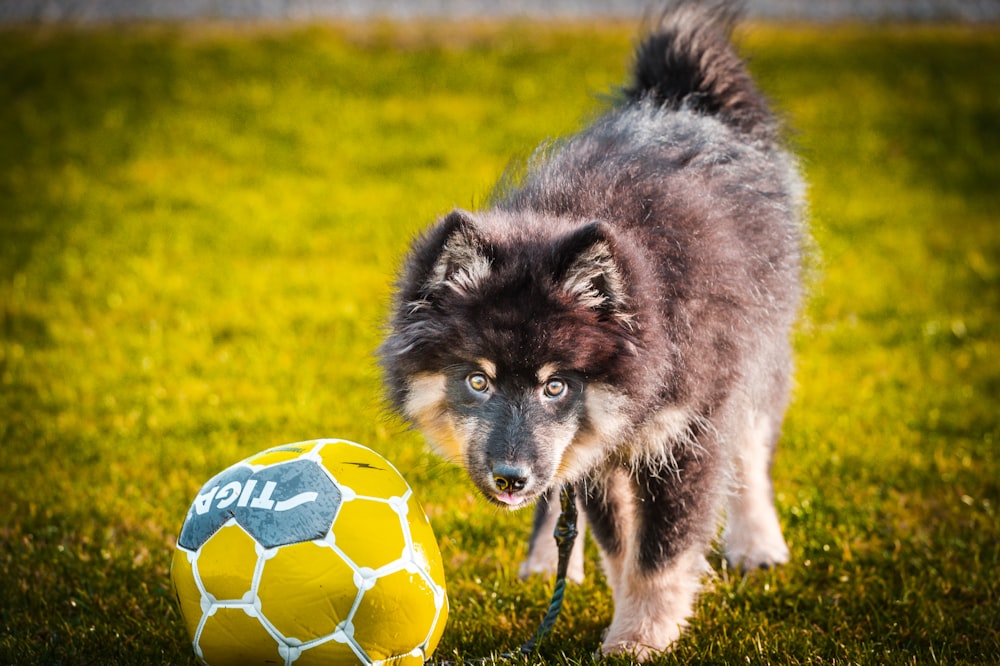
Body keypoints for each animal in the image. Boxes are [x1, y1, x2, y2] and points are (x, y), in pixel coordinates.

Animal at [378, 0, 808, 652]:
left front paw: (638, 641)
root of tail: (683, 96)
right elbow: (619, 544)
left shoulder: (684, 434)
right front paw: (623, 615)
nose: (510, 478)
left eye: (557, 385)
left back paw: (757, 543)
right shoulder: (597, 448)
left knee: (753, 450)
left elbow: (660, 553)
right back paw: (544, 561)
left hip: (760, 349)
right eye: (477, 381)